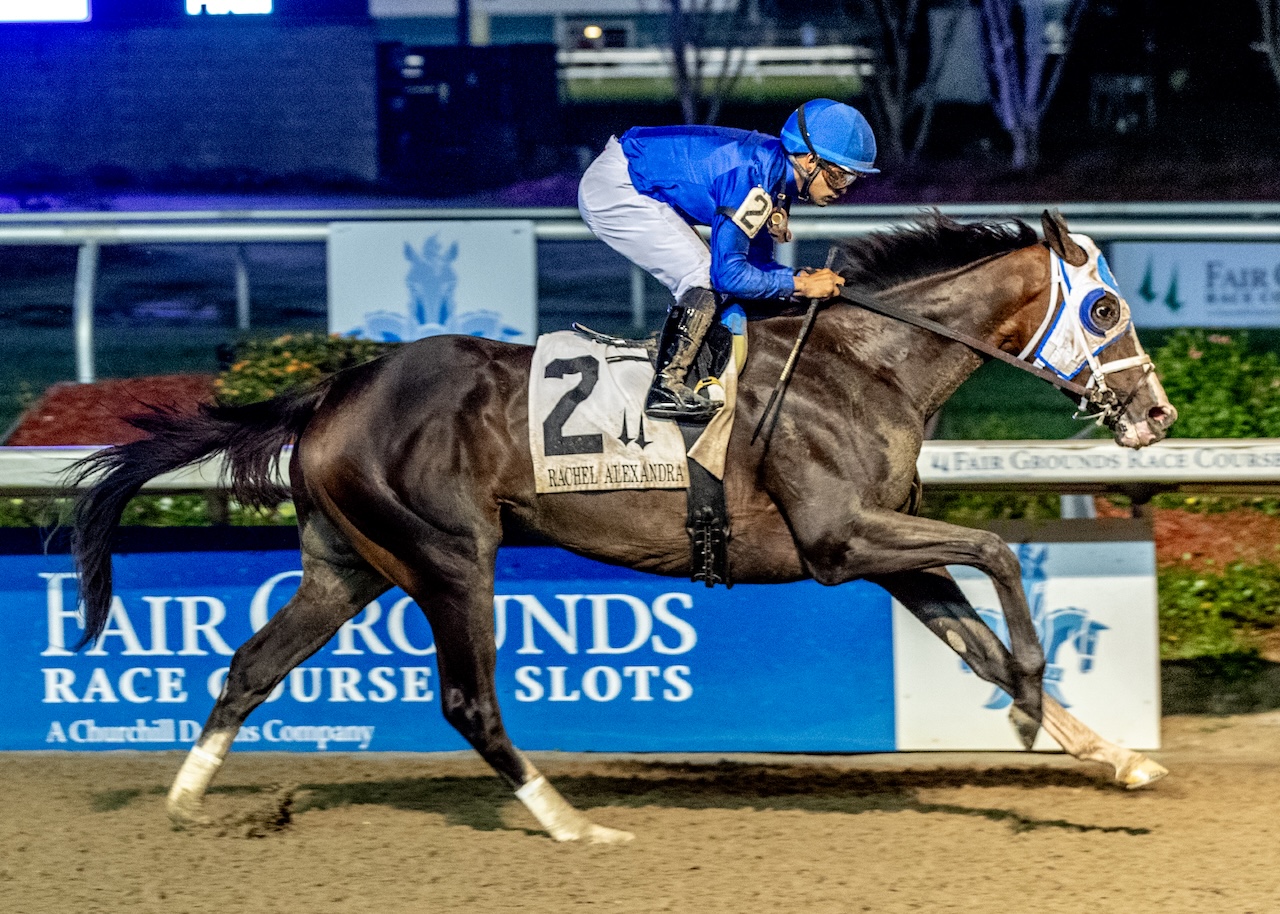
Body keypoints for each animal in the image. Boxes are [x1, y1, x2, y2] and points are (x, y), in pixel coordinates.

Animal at [64, 209, 1172, 844]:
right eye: (1106, 310)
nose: (1156, 416)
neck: (867, 363)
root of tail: (335, 386)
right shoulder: (837, 541)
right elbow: (996, 554)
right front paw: (1028, 709)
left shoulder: (882, 546)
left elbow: (975, 635)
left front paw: (1110, 753)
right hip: (450, 555)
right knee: (468, 699)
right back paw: (571, 825)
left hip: (349, 564)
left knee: (252, 662)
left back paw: (188, 802)